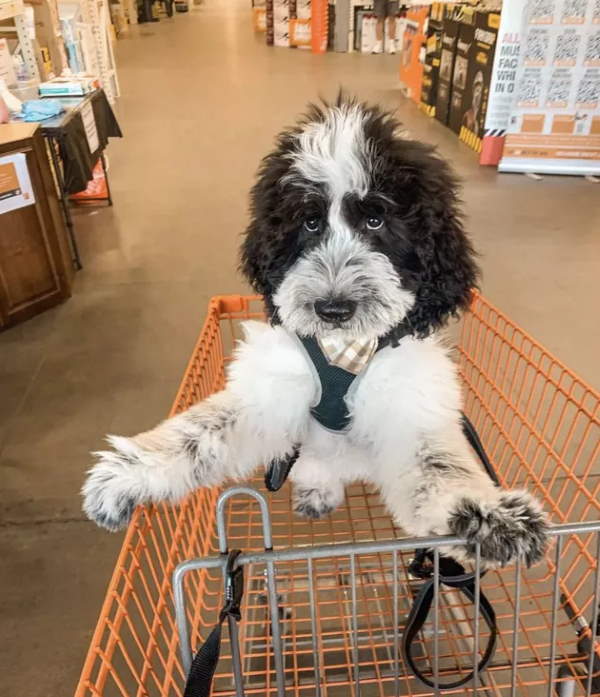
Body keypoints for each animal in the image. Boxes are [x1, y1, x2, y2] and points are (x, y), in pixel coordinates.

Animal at [83, 96, 548, 564]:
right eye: (309, 223)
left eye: (376, 221)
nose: (332, 309)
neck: (342, 350)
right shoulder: (269, 391)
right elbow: (200, 433)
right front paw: (127, 474)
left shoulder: (410, 407)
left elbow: (439, 468)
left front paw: (487, 516)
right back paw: (316, 490)